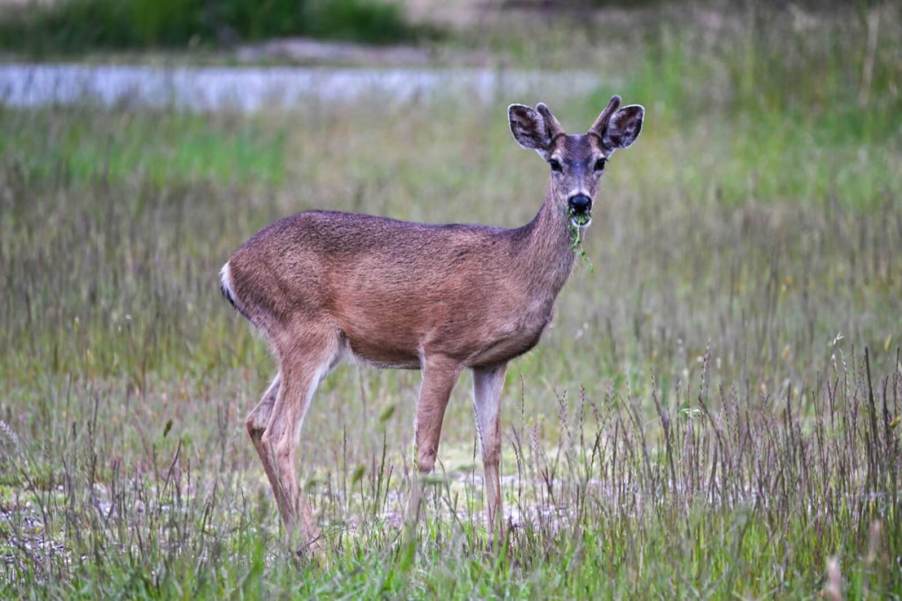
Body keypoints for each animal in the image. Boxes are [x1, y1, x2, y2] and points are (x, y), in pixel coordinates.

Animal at [219, 96, 644, 556]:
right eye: (554, 162)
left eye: (601, 161)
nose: (580, 202)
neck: (516, 268)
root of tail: (230, 269)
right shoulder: (442, 347)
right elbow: (425, 449)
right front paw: (406, 542)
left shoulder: (491, 362)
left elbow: (491, 447)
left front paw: (498, 541)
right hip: (305, 333)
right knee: (280, 434)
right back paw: (318, 549)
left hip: (311, 345)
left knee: (255, 422)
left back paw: (296, 542)